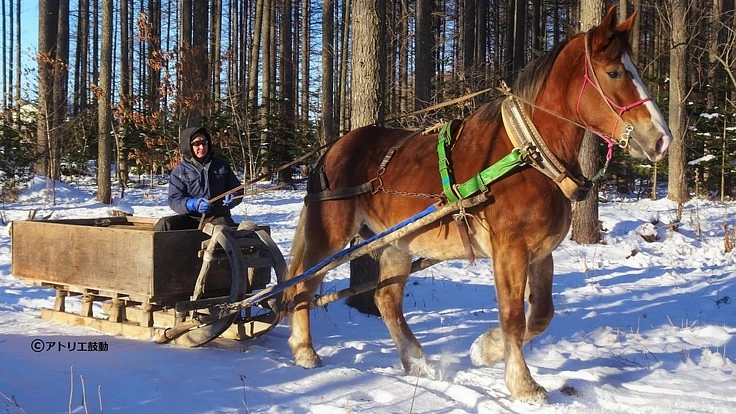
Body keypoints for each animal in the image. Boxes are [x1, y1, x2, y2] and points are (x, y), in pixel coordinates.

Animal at [282, 7, 672, 402]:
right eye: (614, 72)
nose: (661, 139)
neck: (528, 155)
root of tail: (332, 148)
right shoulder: (510, 250)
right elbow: (512, 315)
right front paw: (522, 383)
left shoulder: (540, 252)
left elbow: (541, 315)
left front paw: (484, 350)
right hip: (329, 236)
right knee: (302, 288)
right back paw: (305, 351)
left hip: (397, 242)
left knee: (386, 299)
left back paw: (417, 362)